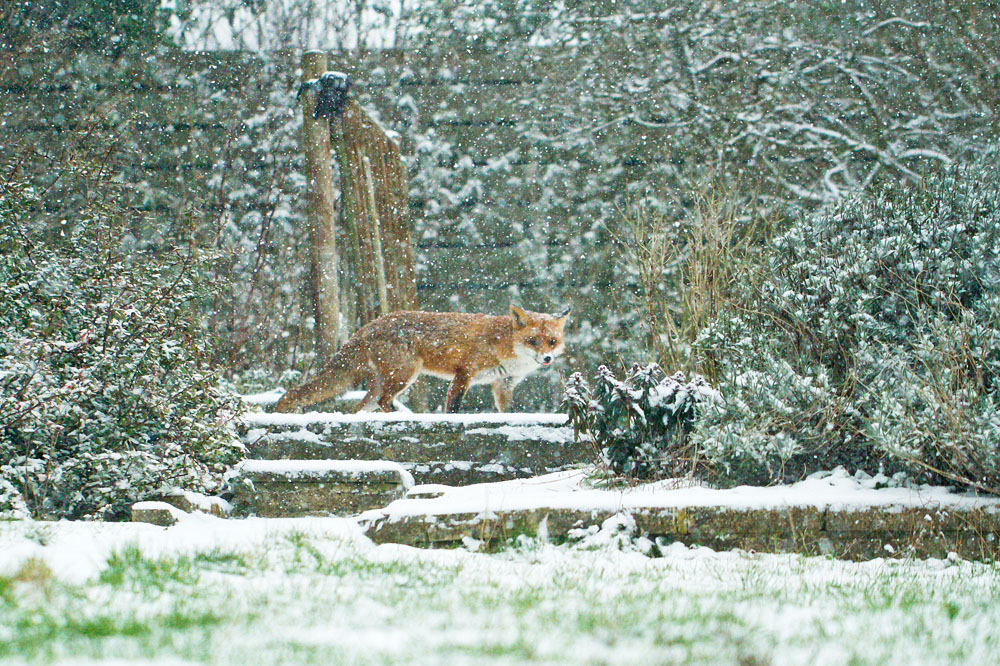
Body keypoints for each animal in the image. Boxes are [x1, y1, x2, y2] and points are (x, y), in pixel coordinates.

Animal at [274, 306, 570, 413]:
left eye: (552, 342)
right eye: (533, 340)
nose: (546, 358)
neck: (503, 345)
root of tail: (369, 325)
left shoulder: (502, 384)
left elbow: (507, 411)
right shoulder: (464, 373)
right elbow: (453, 407)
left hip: (381, 383)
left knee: (359, 408)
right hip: (404, 375)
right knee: (384, 402)